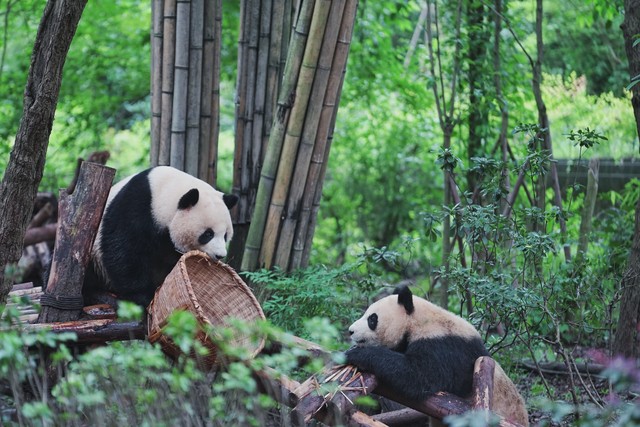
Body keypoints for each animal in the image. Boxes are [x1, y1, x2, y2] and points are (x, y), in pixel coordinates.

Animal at [82, 166, 238, 310]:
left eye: (225, 235)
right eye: (208, 234)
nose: (220, 255)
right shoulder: (135, 207)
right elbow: (122, 250)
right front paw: (142, 296)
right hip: (93, 250)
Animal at [348, 286, 528, 426]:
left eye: (372, 319)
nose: (350, 331)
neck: (417, 321)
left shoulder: (445, 347)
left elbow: (418, 376)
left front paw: (355, 354)